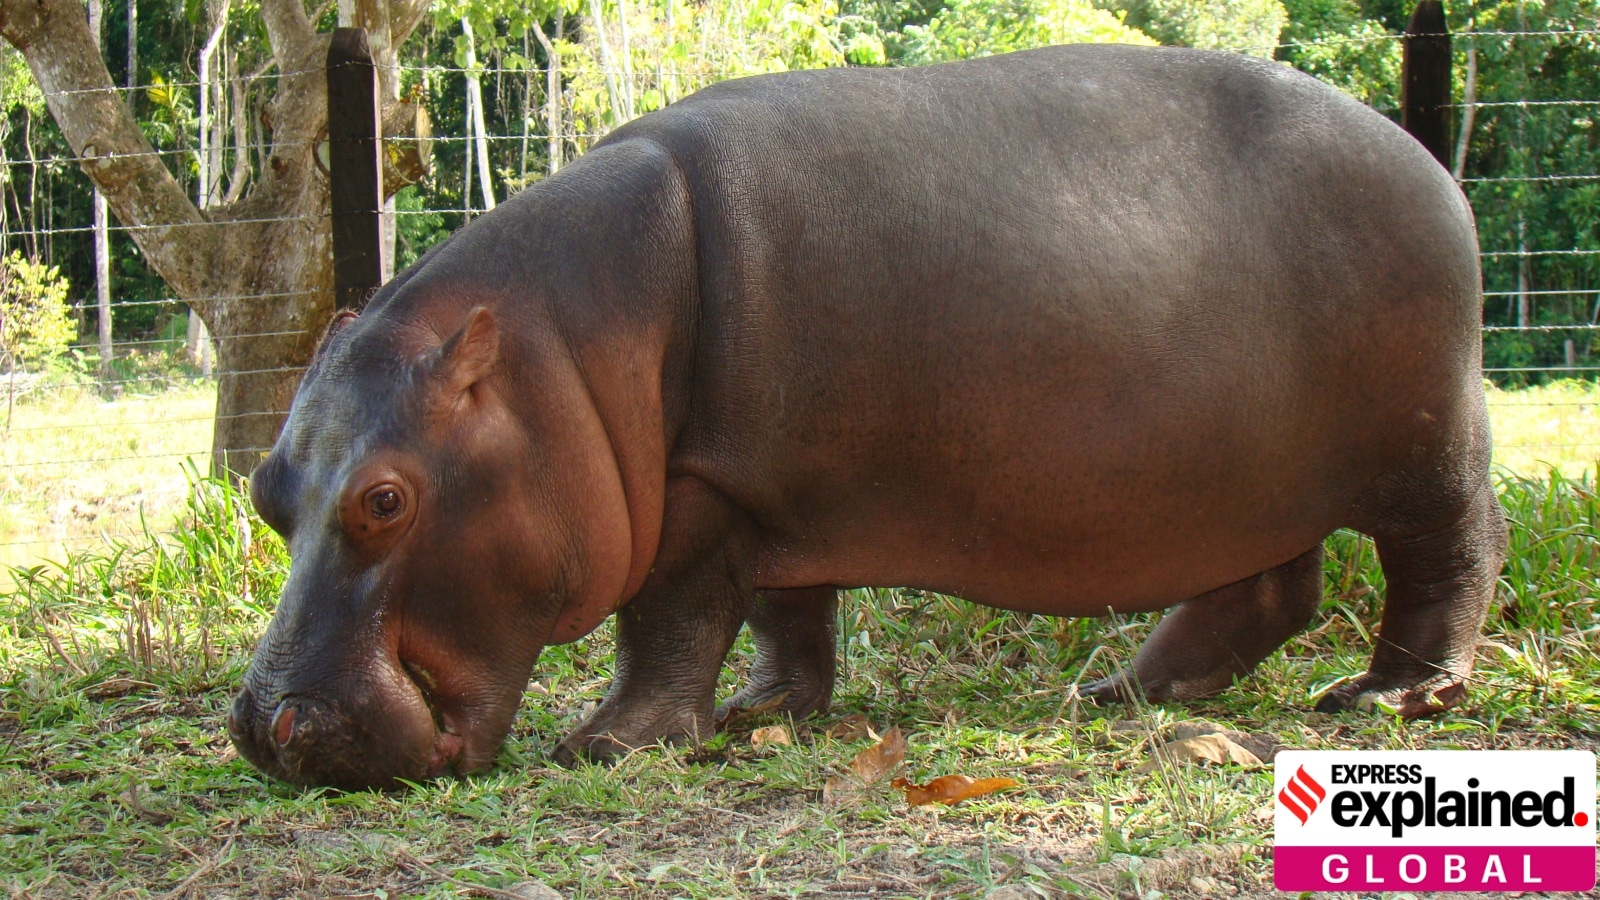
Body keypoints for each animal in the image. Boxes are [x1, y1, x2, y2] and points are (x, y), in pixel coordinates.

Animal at [228, 44, 1506, 790]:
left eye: (385, 498)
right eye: (263, 490)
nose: (266, 729)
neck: (558, 356)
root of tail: (1425, 156)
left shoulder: (703, 487)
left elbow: (671, 617)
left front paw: (606, 743)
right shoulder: (772, 489)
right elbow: (786, 613)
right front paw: (762, 716)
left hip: (1419, 444)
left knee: (1449, 551)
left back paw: (1393, 696)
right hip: (1242, 475)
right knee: (1267, 586)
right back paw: (1124, 691)